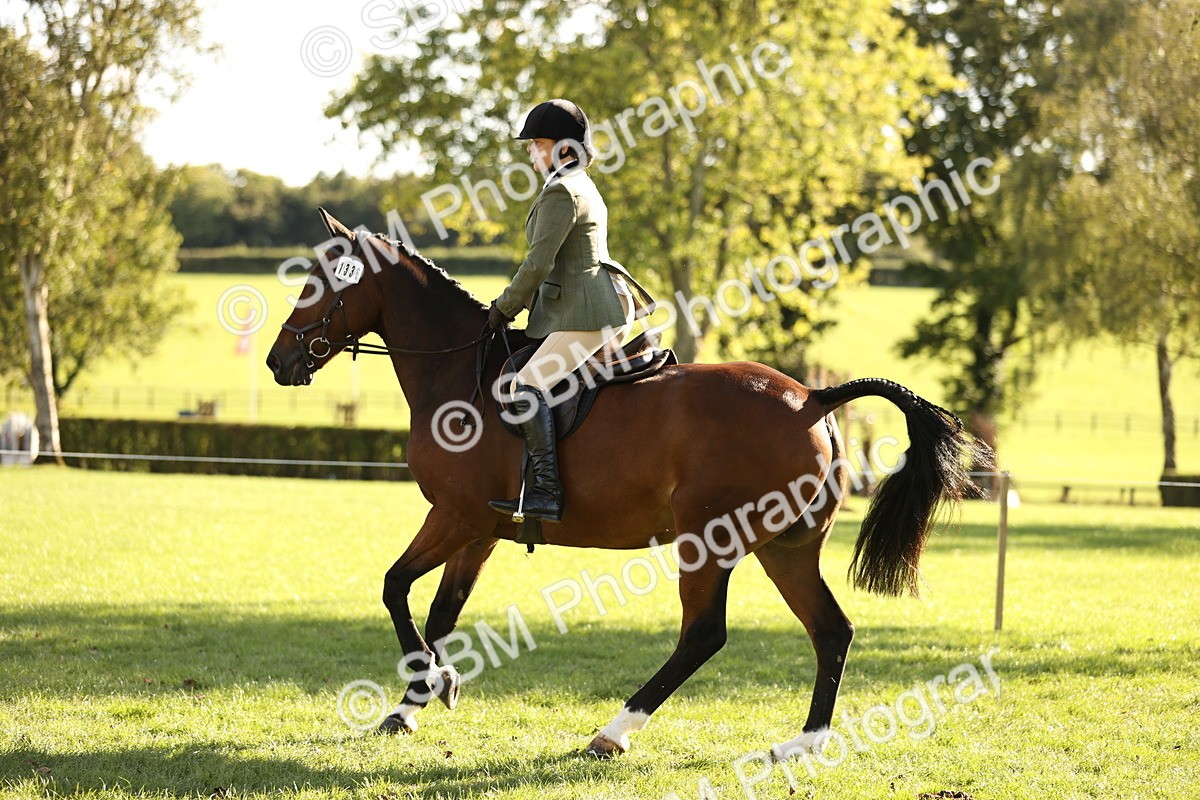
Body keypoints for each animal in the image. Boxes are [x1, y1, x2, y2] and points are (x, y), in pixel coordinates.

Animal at [265, 209, 991, 760]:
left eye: (316, 286)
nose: (278, 362)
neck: (456, 376)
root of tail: (814, 397)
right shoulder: (482, 527)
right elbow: (441, 612)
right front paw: (419, 700)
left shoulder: (456, 516)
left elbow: (394, 588)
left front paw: (428, 684)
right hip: (785, 548)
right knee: (831, 630)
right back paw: (803, 743)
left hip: (711, 541)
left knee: (704, 635)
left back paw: (612, 733)